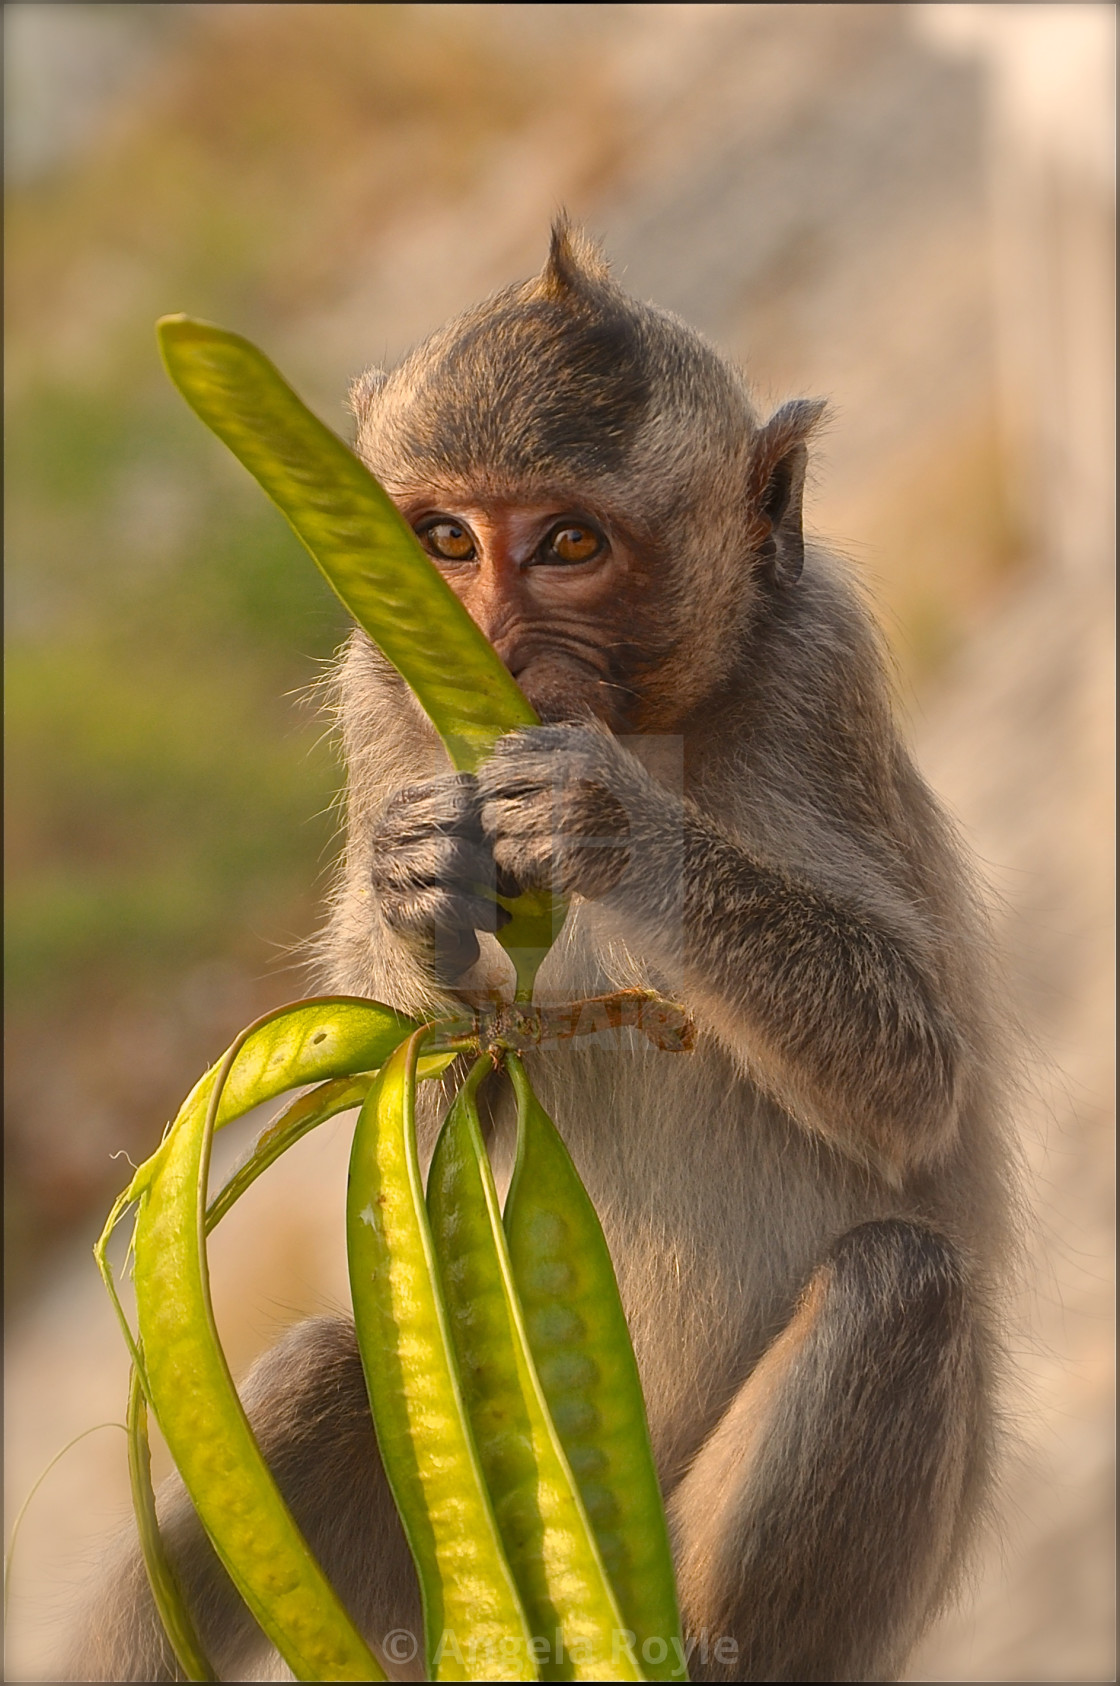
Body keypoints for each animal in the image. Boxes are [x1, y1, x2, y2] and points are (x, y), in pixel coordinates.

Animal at [65, 217, 1018, 1679]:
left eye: (569, 542)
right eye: (446, 540)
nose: (492, 646)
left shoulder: (819, 674)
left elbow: (912, 1074)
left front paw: (603, 819)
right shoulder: (381, 704)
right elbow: (422, 1081)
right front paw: (418, 891)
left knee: (897, 1284)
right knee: (322, 1376)